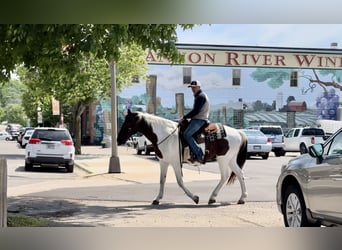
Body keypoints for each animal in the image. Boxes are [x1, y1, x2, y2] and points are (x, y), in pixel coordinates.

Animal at [117, 109, 248, 205]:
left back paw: (213, 197)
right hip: (231, 159)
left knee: (225, 176)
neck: (165, 135)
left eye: (128, 123)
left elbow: (180, 181)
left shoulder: (175, 162)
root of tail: (238, 132)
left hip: (223, 159)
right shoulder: (164, 162)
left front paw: (195, 198)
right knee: (239, 174)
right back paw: (242, 198)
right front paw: (157, 199)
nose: (119, 139)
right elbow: (162, 180)